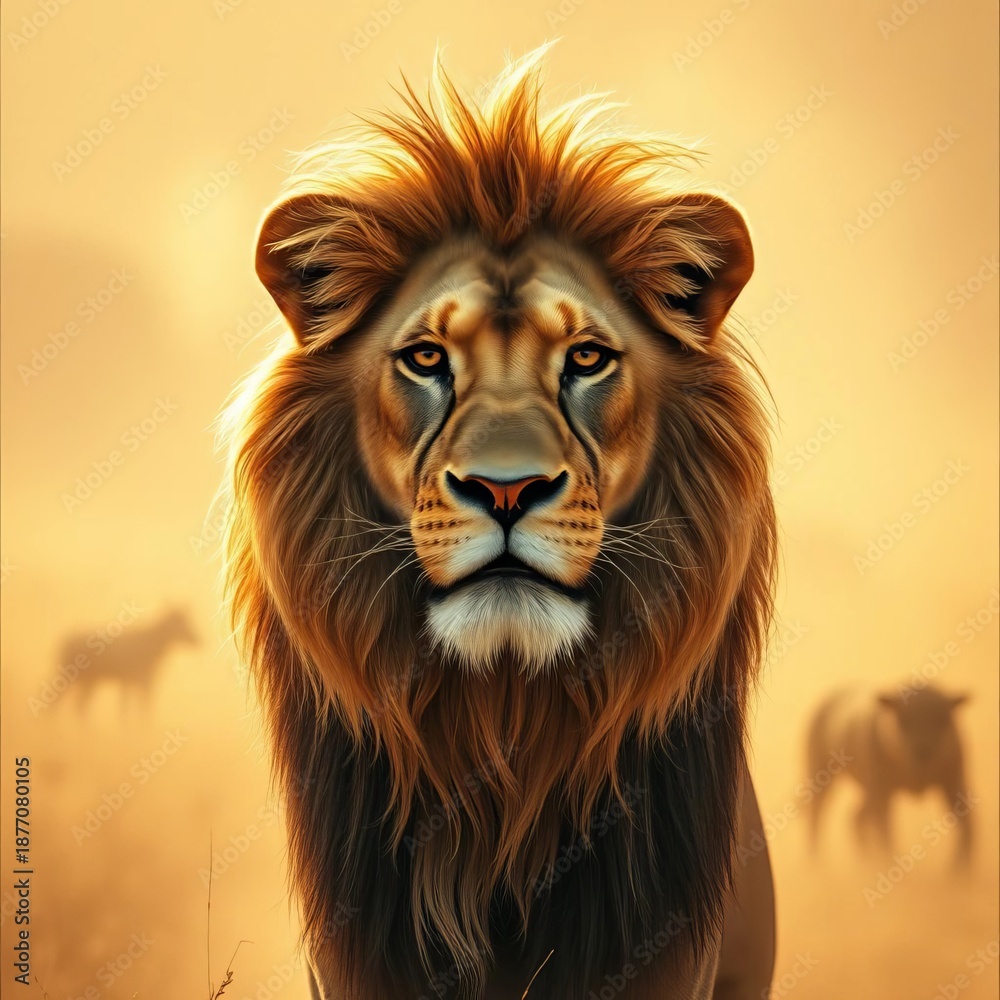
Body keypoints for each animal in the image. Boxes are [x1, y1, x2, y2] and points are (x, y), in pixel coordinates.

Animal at [806, 685, 973, 865]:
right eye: (902, 721)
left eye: (944, 721)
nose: (923, 753)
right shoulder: (881, 789)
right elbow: (885, 831)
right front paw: (890, 861)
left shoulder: (954, 778)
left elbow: (967, 822)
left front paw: (961, 869)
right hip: (820, 772)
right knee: (816, 813)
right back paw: (817, 862)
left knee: (856, 817)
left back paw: (865, 860)